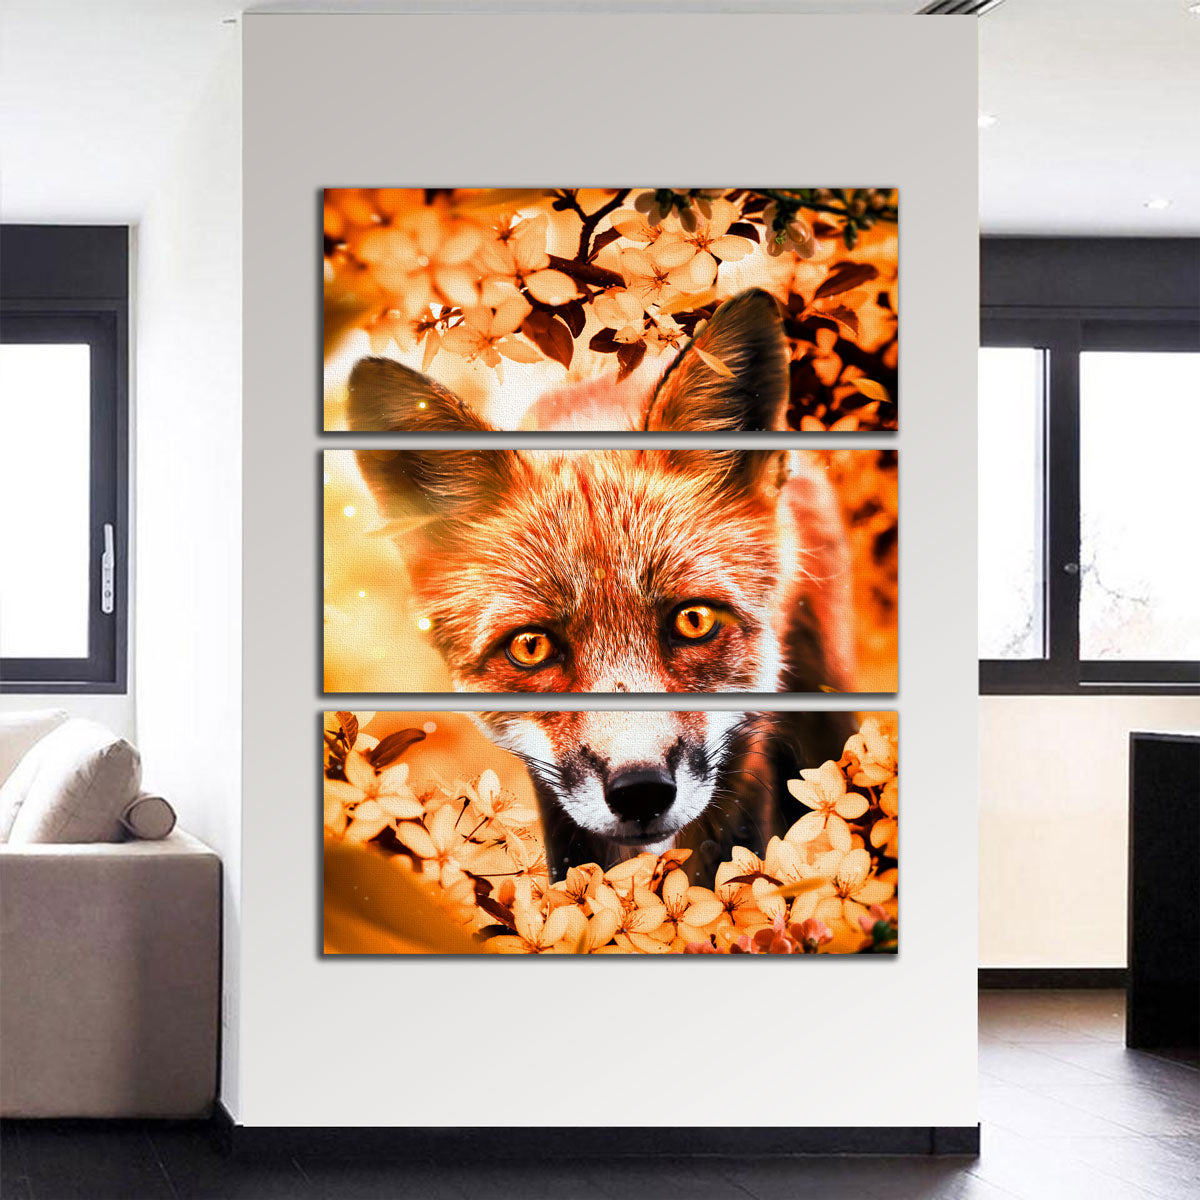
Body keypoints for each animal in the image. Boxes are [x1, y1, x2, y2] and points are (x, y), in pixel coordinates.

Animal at [347, 288, 858, 881]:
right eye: (531, 646)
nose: (641, 791)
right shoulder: (549, 784)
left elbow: (727, 853)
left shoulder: (745, 734)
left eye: (694, 620)